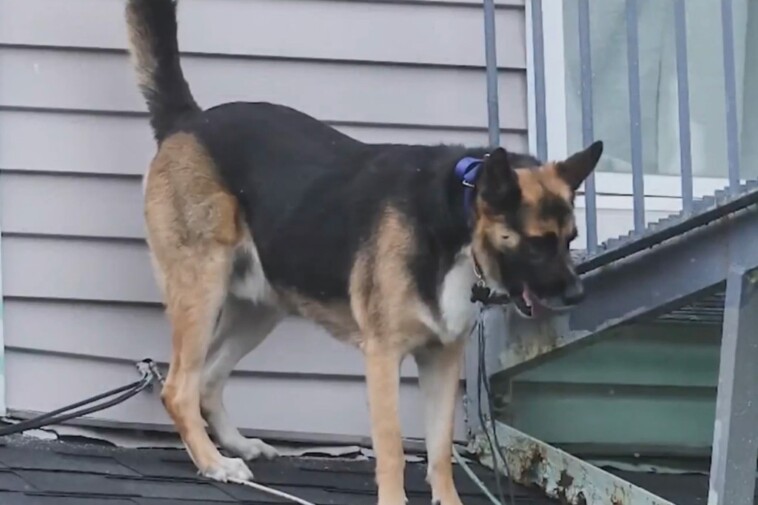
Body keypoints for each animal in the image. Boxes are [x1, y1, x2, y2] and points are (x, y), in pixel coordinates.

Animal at [124, 1, 604, 502]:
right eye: (538, 243)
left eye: (570, 239)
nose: (578, 296)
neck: (455, 218)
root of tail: (188, 122)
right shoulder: (383, 357)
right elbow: (392, 447)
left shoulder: (441, 359)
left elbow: (439, 450)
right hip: (202, 291)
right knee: (179, 387)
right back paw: (215, 463)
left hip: (260, 307)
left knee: (208, 378)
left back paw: (238, 446)